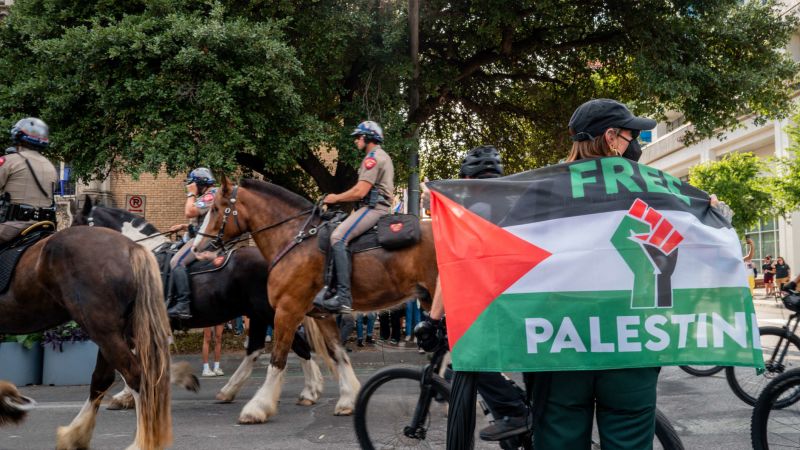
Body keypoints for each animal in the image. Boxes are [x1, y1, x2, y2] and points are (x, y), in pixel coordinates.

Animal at [0, 229, 172, 450]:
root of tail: (132, 248)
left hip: (102, 330)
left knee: (134, 376)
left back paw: (141, 442)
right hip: (114, 332)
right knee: (103, 379)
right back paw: (75, 435)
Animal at [191, 178, 438, 422]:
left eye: (215, 208)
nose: (196, 247)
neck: (294, 239)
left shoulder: (287, 310)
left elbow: (278, 358)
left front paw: (258, 407)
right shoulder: (321, 315)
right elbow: (338, 353)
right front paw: (348, 400)